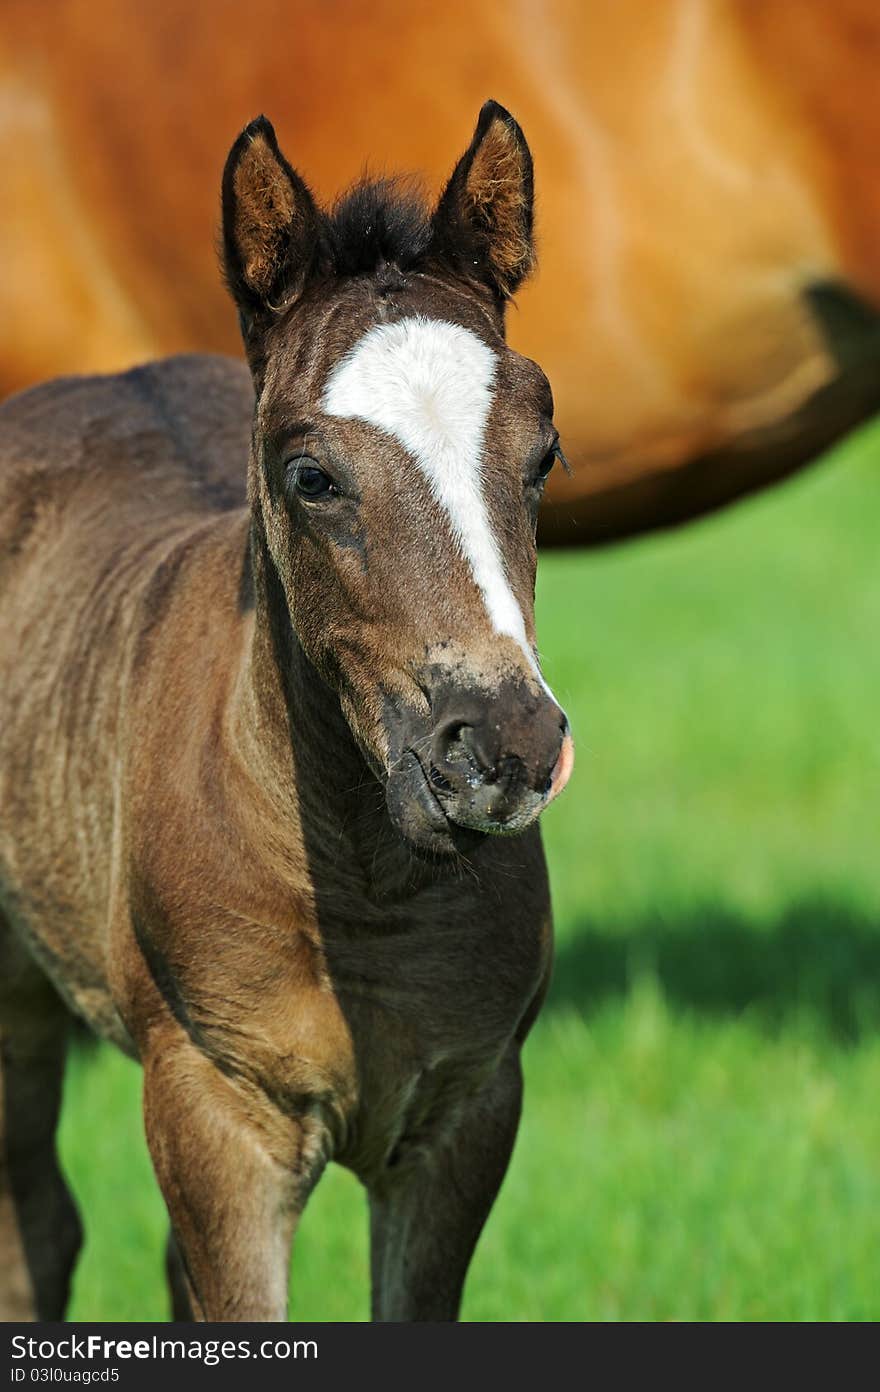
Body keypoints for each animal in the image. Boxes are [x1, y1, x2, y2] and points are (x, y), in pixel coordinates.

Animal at [0, 103, 573, 1319]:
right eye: (311, 475)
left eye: (544, 456)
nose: (500, 747)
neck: (366, 887)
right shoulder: (216, 1111)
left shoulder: (466, 1112)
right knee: (34, 1234)